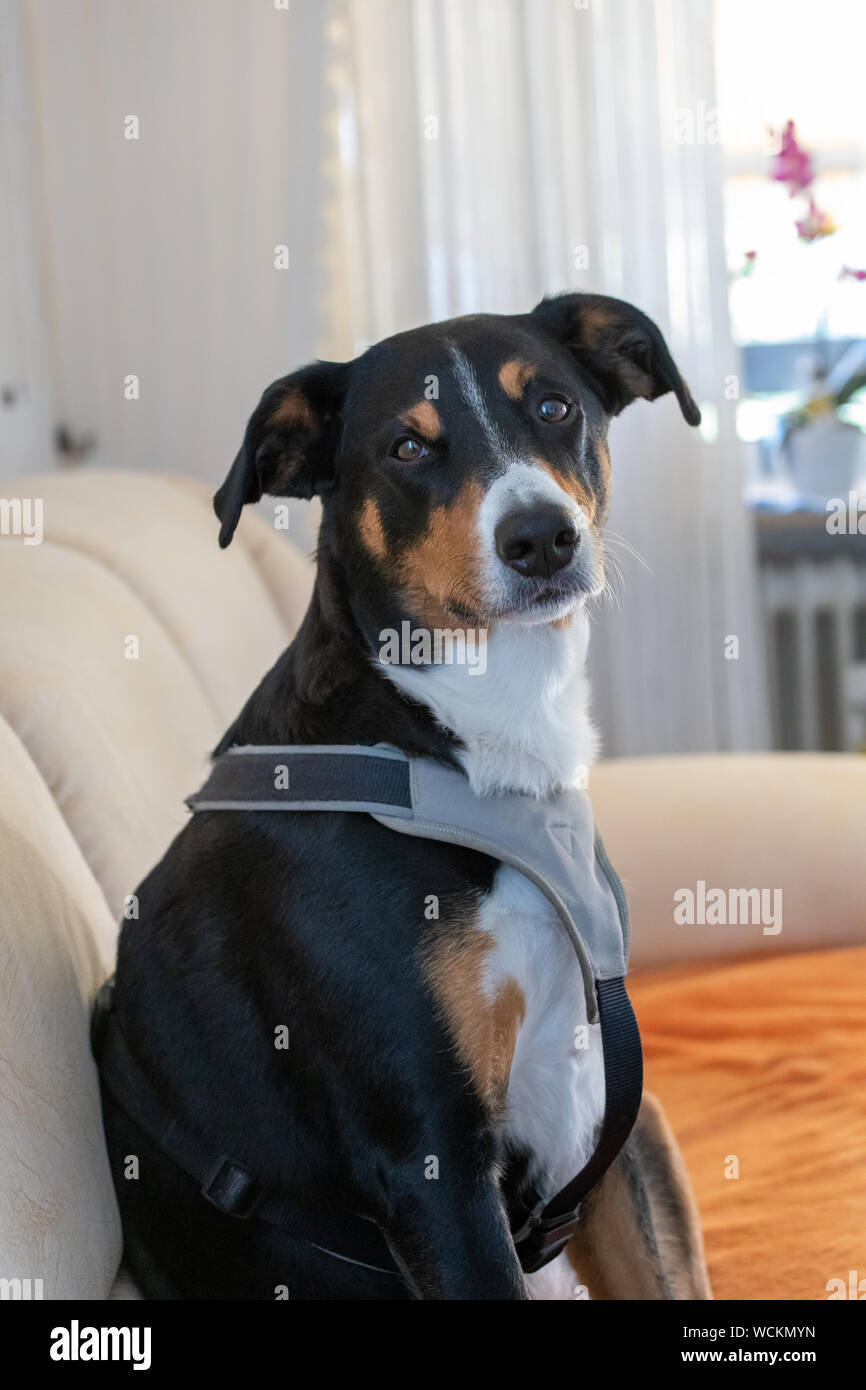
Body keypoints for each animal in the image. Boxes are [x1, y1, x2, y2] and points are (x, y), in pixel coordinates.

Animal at [97, 287, 717, 1295]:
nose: (542, 536)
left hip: (649, 1126)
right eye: (406, 449)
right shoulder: (432, 1165)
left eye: (553, 406)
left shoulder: (605, 1121)